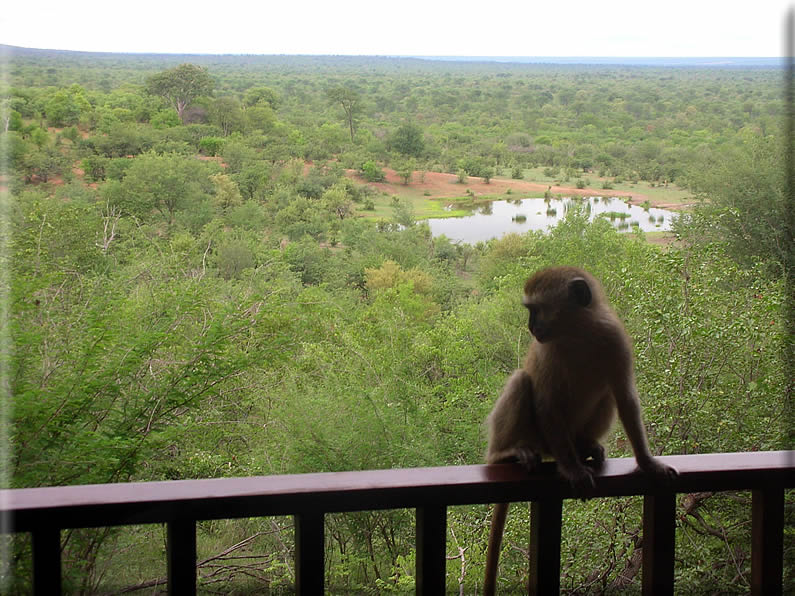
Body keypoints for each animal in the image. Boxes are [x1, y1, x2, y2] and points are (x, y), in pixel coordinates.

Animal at [482, 266, 676, 596]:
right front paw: (572, 470)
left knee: (606, 393)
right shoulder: (547, 352)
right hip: (542, 438)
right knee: (522, 382)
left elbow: (624, 396)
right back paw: (507, 454)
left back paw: (586, 445)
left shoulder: (615, 340)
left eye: (536, 310)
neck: (578, 334)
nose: (530, 326)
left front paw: (648, 463)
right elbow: (546, 402)